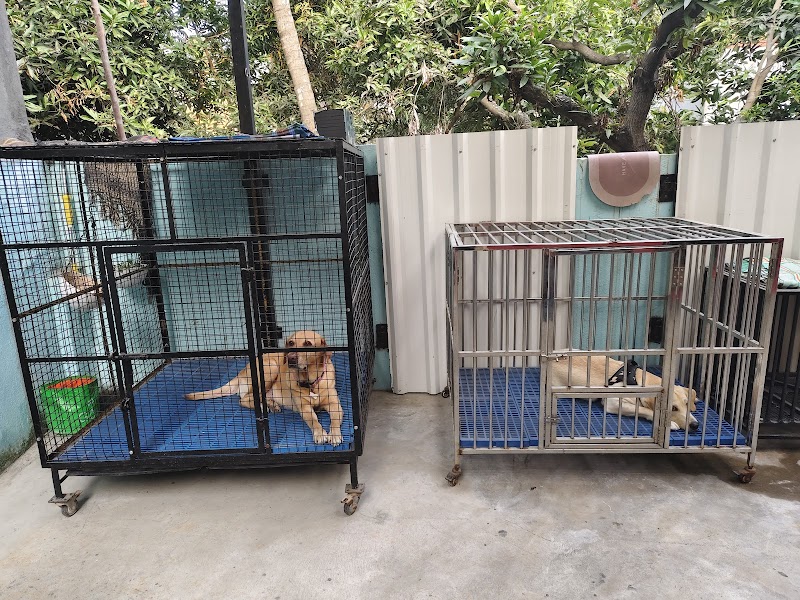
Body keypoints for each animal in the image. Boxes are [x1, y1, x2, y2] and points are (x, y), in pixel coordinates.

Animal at [184, 330, 343, 445]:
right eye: (291, 342)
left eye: (308, 343)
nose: (290, 358)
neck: (311, 382)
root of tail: (242, 372)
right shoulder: (304, 408)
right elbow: (314, 420)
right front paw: (320, 433)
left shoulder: (335, 404)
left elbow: (334, 420)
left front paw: (334, 434)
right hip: (270, 367)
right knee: (245, 398)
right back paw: (266, 405)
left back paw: (271, 404)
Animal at [549, 356, 699, 431]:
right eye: (673, 408)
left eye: (686, 404)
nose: (695, 425)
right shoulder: (613, 402)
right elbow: (645, 409)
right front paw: (670, 423)